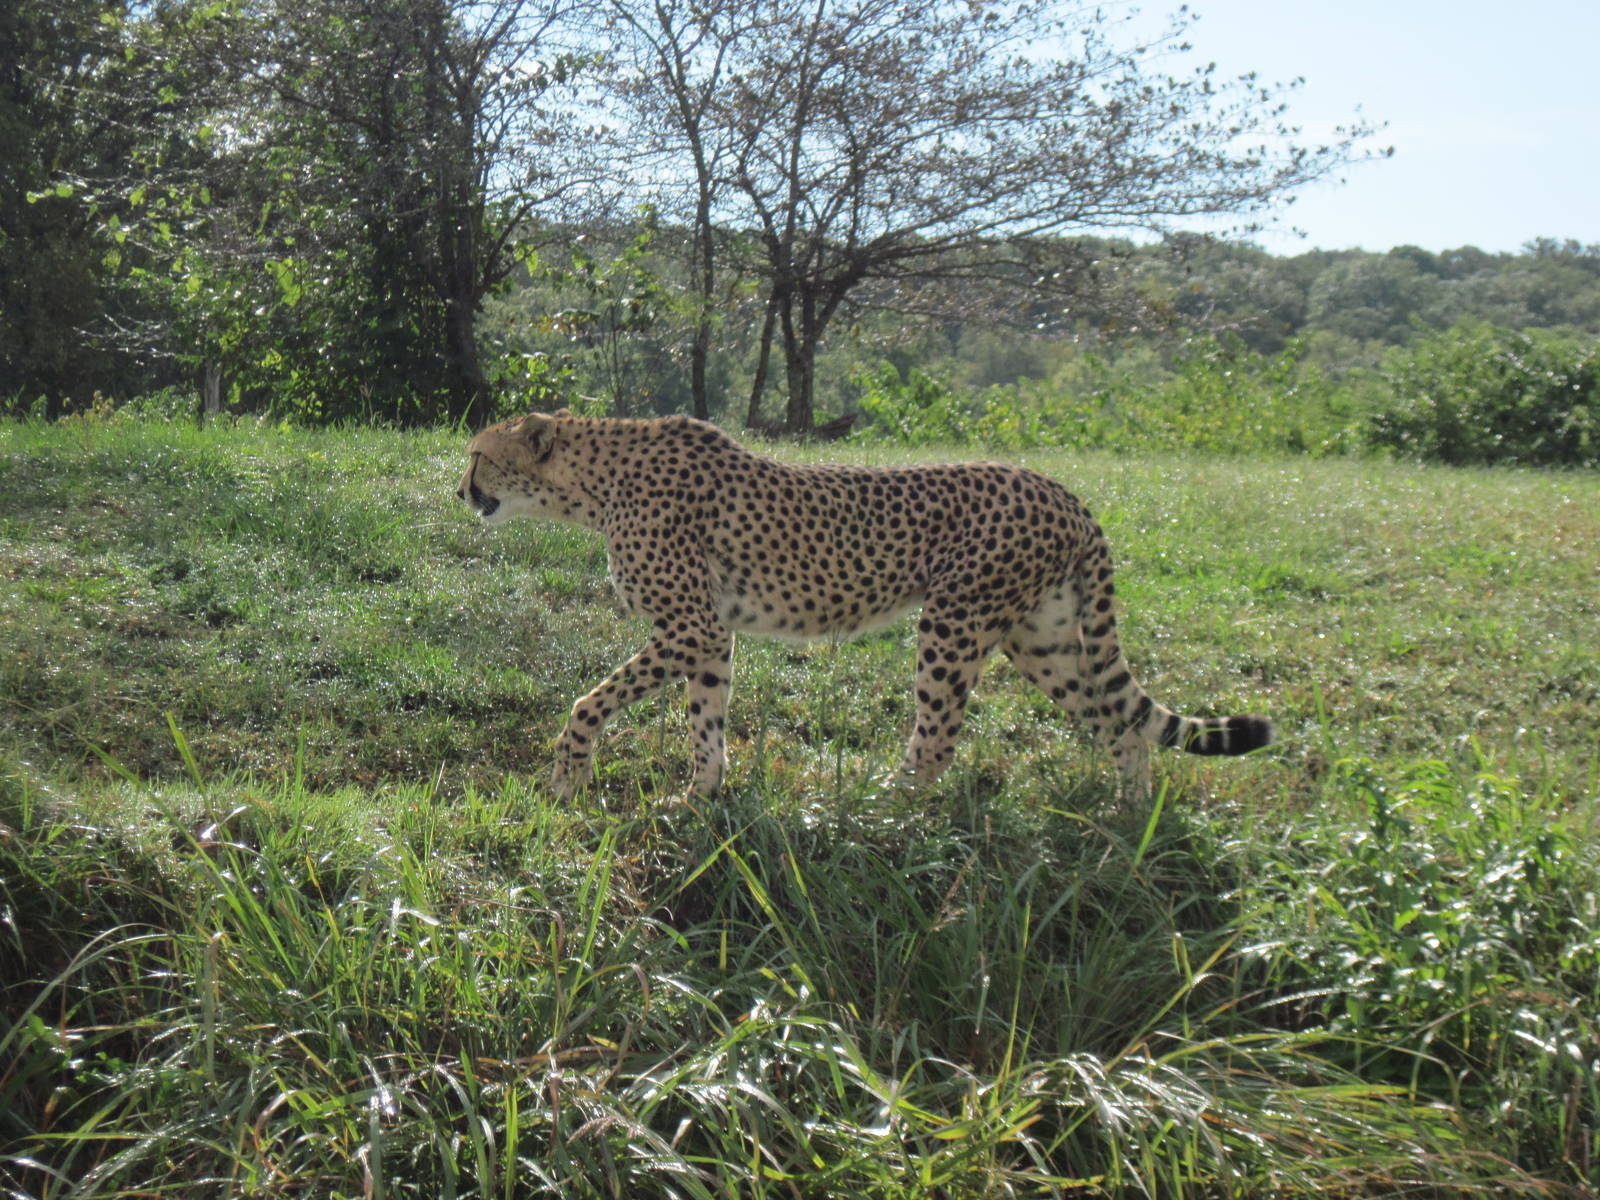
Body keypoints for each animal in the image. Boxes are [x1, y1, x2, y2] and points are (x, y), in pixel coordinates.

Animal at [457, 411, 1272, 799]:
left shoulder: (690, 625)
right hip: (1039, 639)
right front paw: (698, 800)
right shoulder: (712, 635)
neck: (595, 484)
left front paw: (568, 777)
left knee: (939, 738)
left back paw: (886, 808)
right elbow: (705, 721)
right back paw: (1130, 821)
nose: (460, 491)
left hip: (954, 622)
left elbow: (588, 700)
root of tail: (1062, 491)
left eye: (479, 456)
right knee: (1121, 726)